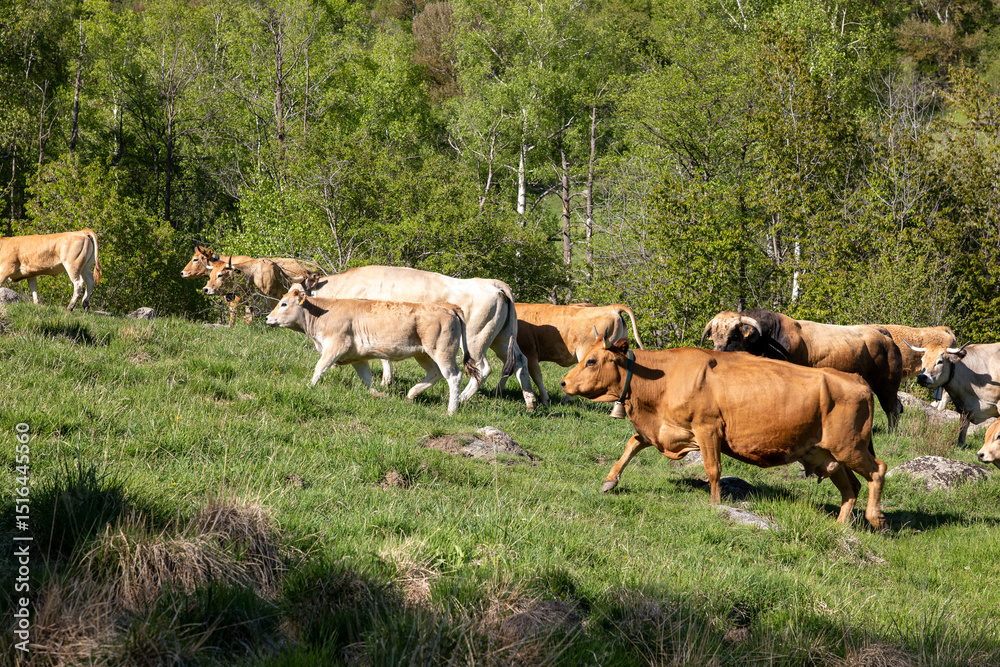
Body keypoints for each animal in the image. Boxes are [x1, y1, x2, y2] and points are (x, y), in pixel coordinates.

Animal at [265, 284, 479, 414]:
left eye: (283, 304)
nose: (267, 318)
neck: (324, 313)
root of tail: (447, 306)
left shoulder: (335, 346)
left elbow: (320, 367)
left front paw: (309, 387)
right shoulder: (358, 358)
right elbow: (367, 379)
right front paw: (378, 394)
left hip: (442, 352)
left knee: (453, 376)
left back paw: (451, 409)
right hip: (423, 353)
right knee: (435, 373)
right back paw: (412, 394)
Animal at [300, 267, 538, 410]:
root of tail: (493, 283)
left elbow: (384, 357)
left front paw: (386, 380)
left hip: (475, 340)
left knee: (482, 369)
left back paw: (460, 399)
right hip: (501, 338)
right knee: (520, 361)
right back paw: (531, 402)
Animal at [500, 302, 646, 405]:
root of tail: (612, 308)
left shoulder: (529, 353)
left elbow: (536, 376)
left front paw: (545, 400)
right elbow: (508, 371)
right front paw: (499, 391)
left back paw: (567, 399)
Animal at [560, 335, 887, 529]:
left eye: (591, 361)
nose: (564, 383)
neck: (663, 378)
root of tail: (855, 379)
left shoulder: (708, 429)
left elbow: (713, 469)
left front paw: (715, 504)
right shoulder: (665, 429)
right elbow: (631, 444)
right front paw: (610, 480)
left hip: (851, 447)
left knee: (878, 471)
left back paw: (875, 517)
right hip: (827, 454)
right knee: (851, 488)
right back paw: (841, 526)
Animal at [701, 309, 904, 431]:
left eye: (733, 336)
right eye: (714, 336)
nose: (718, 351)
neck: (766, 339)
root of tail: (884, 334)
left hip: (886, 383)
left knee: (892, 408)